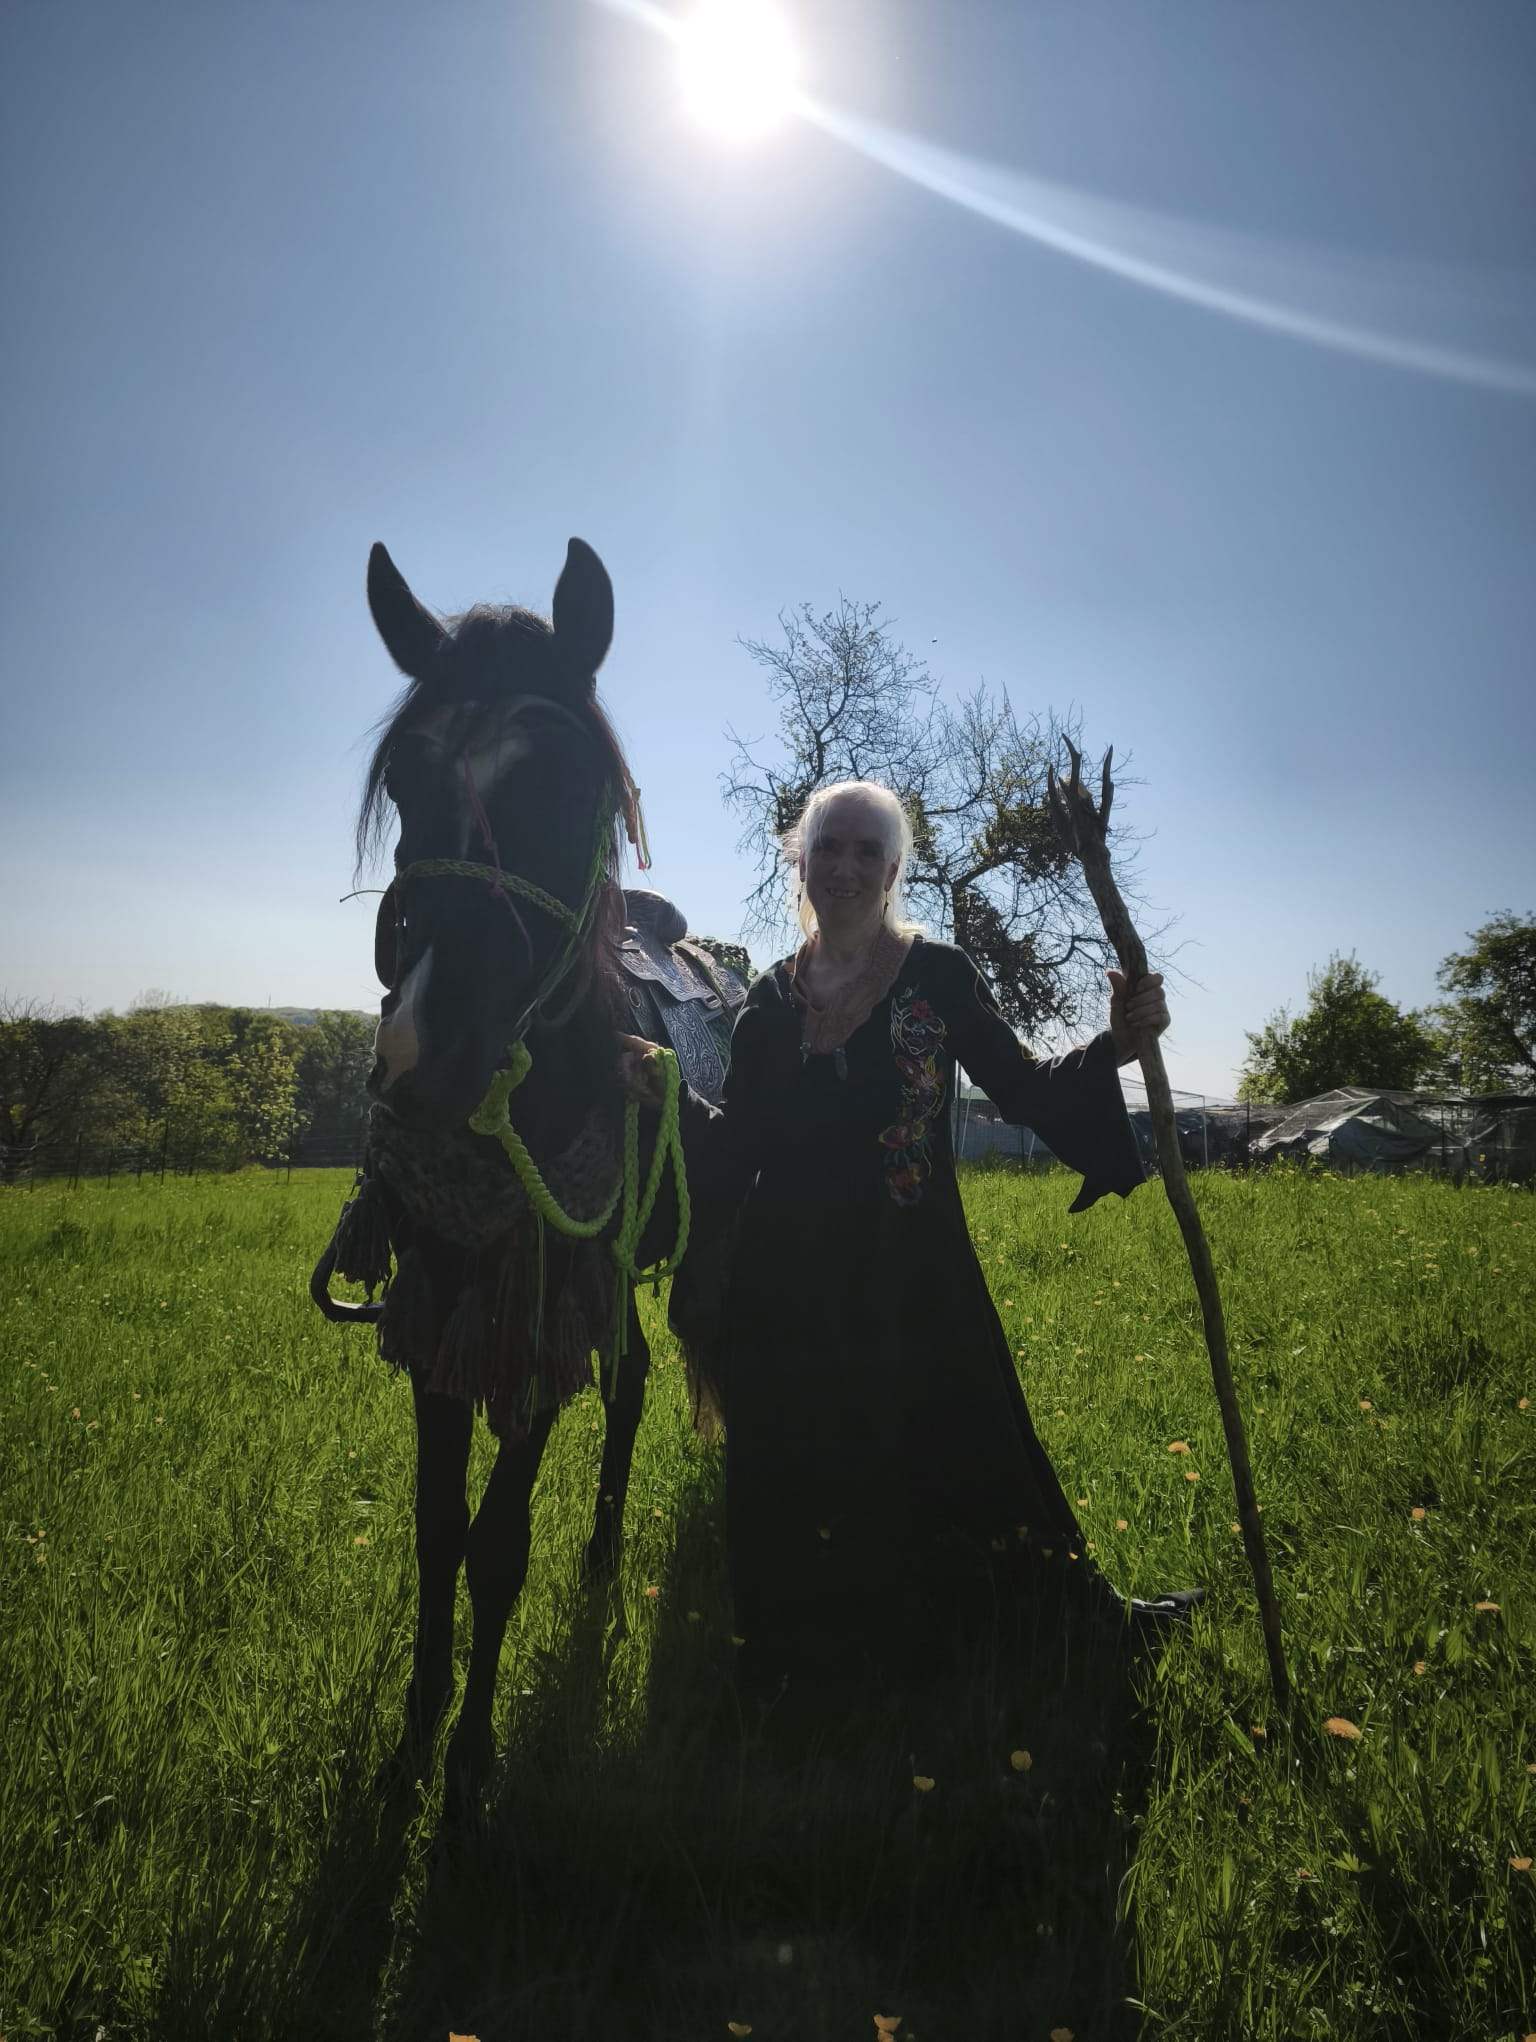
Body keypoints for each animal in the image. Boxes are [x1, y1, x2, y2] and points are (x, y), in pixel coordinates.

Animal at [310, 536, 732, 1807]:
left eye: (568, 782)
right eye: (406, 781)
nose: (424, 1052)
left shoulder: (536, 1315)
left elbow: (496, 1547)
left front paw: (468, 1765)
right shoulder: (447, 1306)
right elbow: (436, 1532)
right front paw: (412, 1737)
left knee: (642, 1379)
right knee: (632, 1375)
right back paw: (598, 1553)